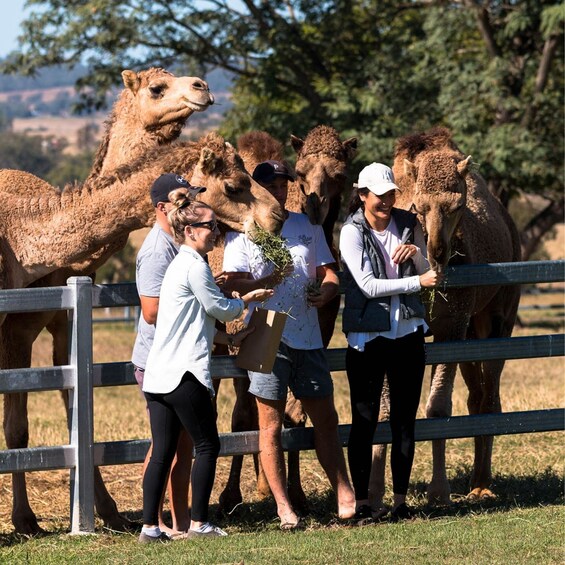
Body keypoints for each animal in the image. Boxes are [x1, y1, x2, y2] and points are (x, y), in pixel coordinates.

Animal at [0, 67, 216, 532]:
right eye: (156, 87)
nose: (202, 87)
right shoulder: (17, 329)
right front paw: (27, 519)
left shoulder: (54, 320)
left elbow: (63, 407)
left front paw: (103, 510)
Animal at [214, 125, 354, 512]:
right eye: (301, 171)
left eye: (340, 174)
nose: (315, 204)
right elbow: (244, 416)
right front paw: (229, 496)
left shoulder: (321, 333)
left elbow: (296, 413)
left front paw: (299, 495)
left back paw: (266, 487)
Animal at [366, 126, 520, 506]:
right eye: (418, 207)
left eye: (458, 206)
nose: (437, 252)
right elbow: (386, 409)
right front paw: (374, 494)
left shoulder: (452, 325)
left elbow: (437, 408)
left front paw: (439, 491)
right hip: (472, 330)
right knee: (476, 396)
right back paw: (477, 481)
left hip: (499, 317)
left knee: (490, 396)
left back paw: (482, 484)